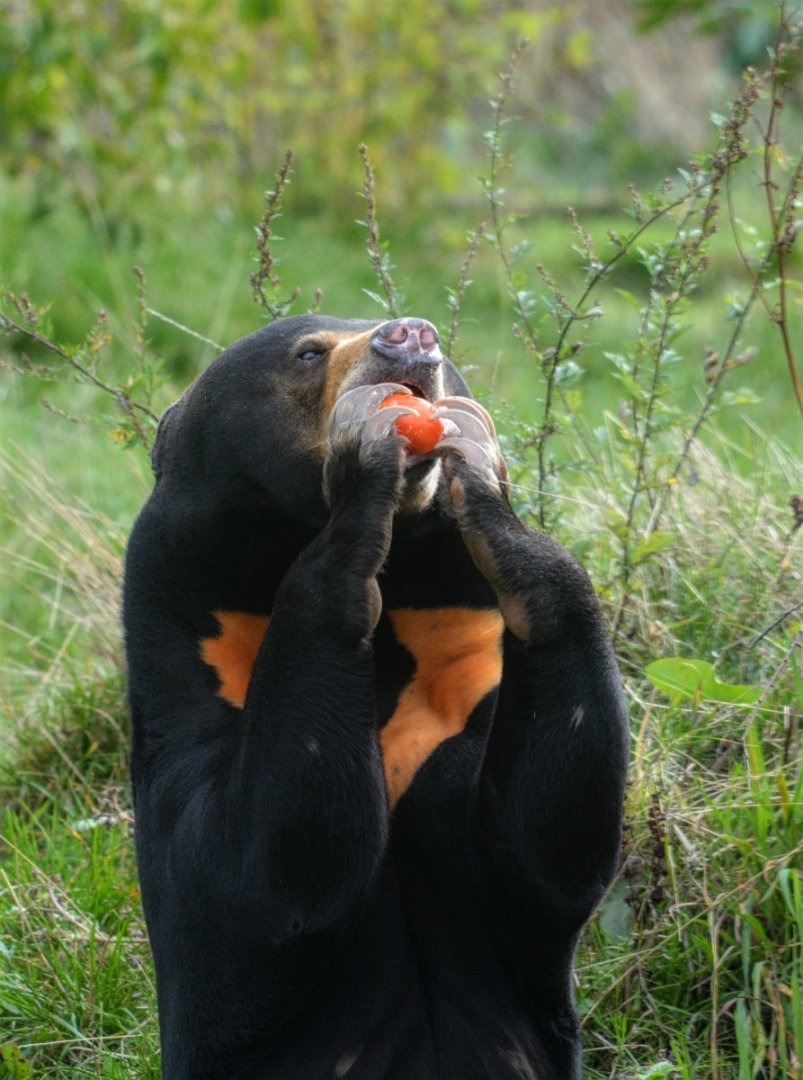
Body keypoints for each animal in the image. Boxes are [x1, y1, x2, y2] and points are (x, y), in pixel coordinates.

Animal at [123, 313, 630, 1080]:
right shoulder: (184, 690)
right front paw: (367, 447)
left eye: (441, 352)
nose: (412, 335)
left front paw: (474, 456)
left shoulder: (461, 676)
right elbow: (267, 865)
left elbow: (550, 834)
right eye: (308, 354)